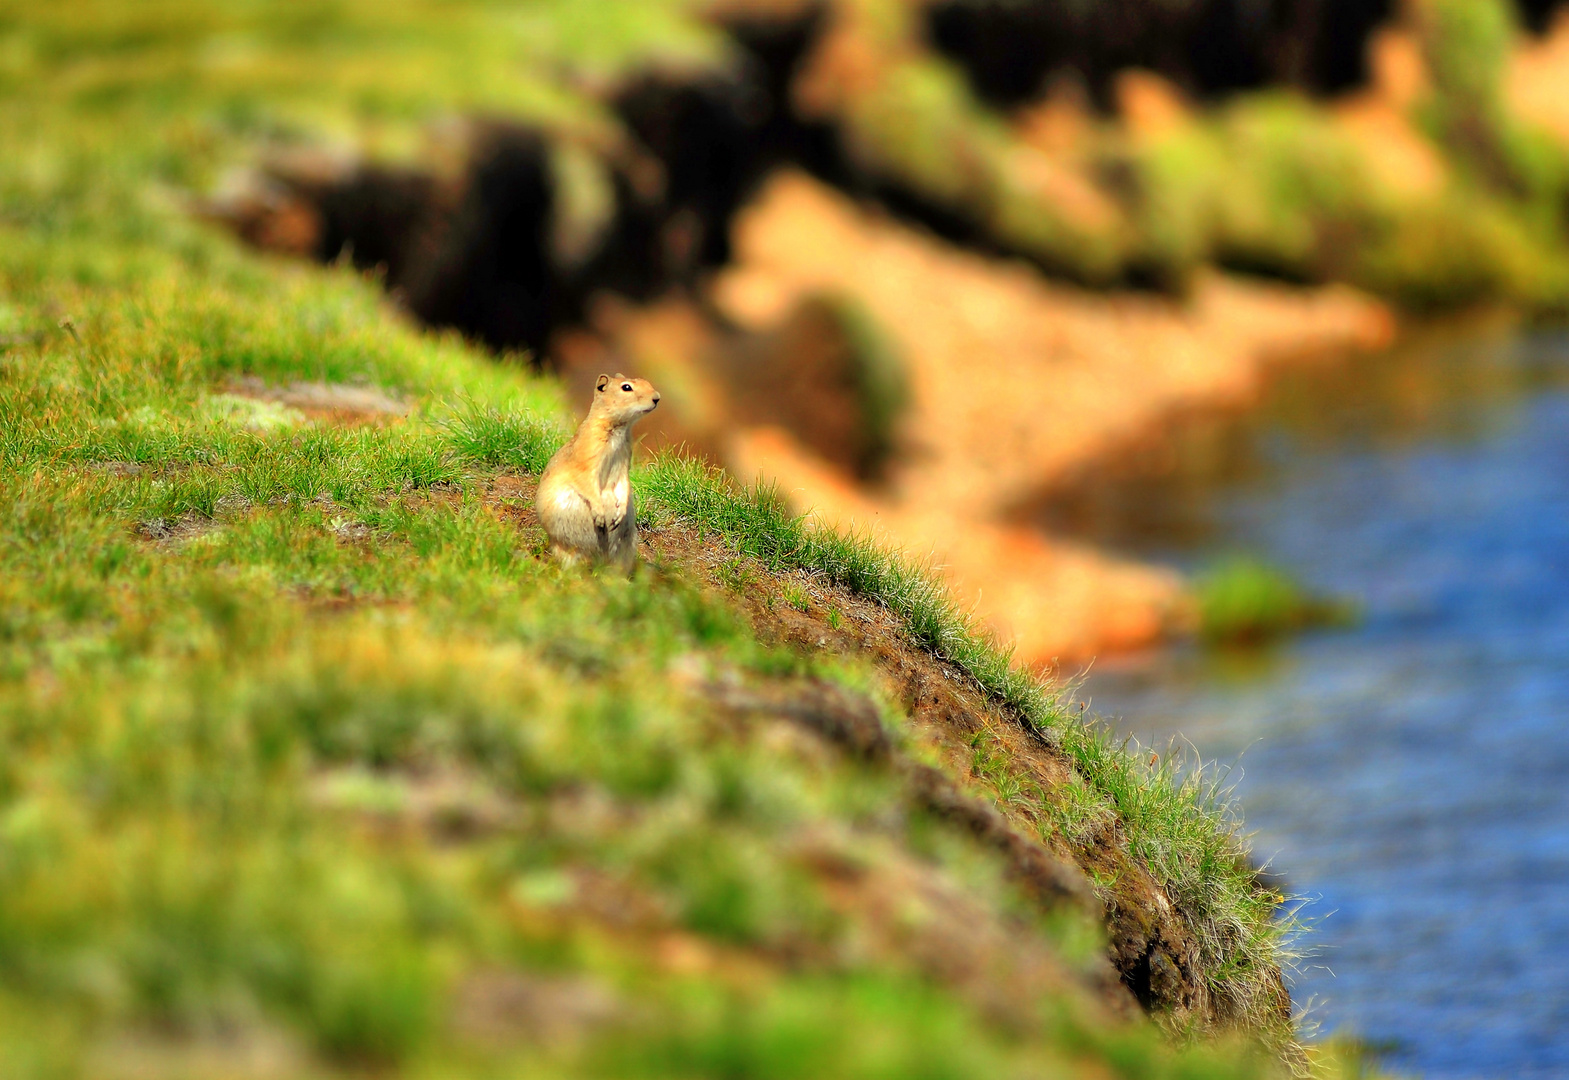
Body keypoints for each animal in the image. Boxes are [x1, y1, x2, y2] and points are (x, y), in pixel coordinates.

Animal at [539, 373, 662, 574]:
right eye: (626, 387)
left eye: (646, 381)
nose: (657, 398)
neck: (619, 429)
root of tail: (598, 563)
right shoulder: (587, 457)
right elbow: (587, 483)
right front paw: (601, 516)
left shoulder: (624, 462)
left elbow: (623, 484)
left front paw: (618, 515)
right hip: (566, 549)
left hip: (627, 549)